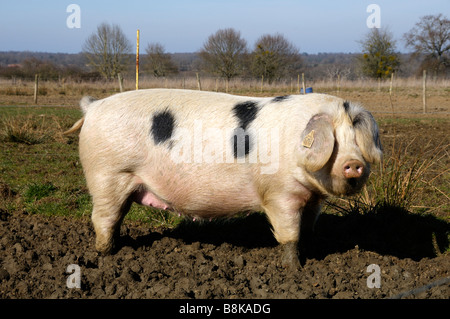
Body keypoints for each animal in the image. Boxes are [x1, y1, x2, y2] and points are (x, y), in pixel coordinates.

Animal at [65, 89, 382, 272]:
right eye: (334, 140)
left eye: (356, 139)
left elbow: (308, 228)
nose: (354, 164)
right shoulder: (279, 193)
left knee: (115, 218)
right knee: (103, 218)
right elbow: (289, 235)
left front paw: (312, 255)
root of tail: (93, 107)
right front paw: (294, 271)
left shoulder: (313, 199)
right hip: (108, 174)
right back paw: (106, 255)